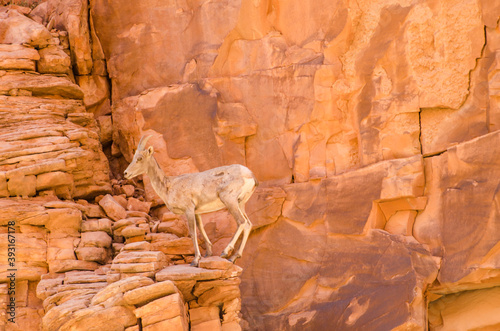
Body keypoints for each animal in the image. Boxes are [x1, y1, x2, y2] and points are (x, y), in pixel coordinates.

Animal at [124, 135, 258, 268]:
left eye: (140, 158)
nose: (126, 173)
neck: (168, 186)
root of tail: (251, 175)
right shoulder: (197, 212)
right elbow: (201, 229)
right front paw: (208, 254)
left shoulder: (188, 210)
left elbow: (193, 233)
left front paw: (195, 260)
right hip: (240, 203)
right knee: (248, 224)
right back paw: (233, 257)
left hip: (229, 200)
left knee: (241, 222)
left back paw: (225, 252)